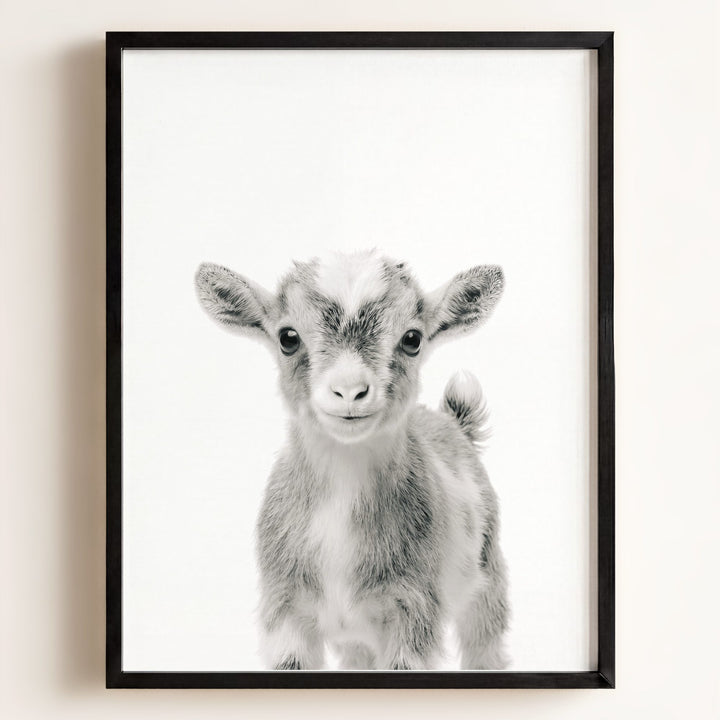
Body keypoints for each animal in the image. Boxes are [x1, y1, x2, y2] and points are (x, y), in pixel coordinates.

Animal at [195, 250, 509, 670]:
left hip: (488, 579)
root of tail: (453, 422)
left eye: (412, 339)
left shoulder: (413, 610)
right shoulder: (285, 611)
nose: (349, 391)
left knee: (486, 645)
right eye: (288, 337)